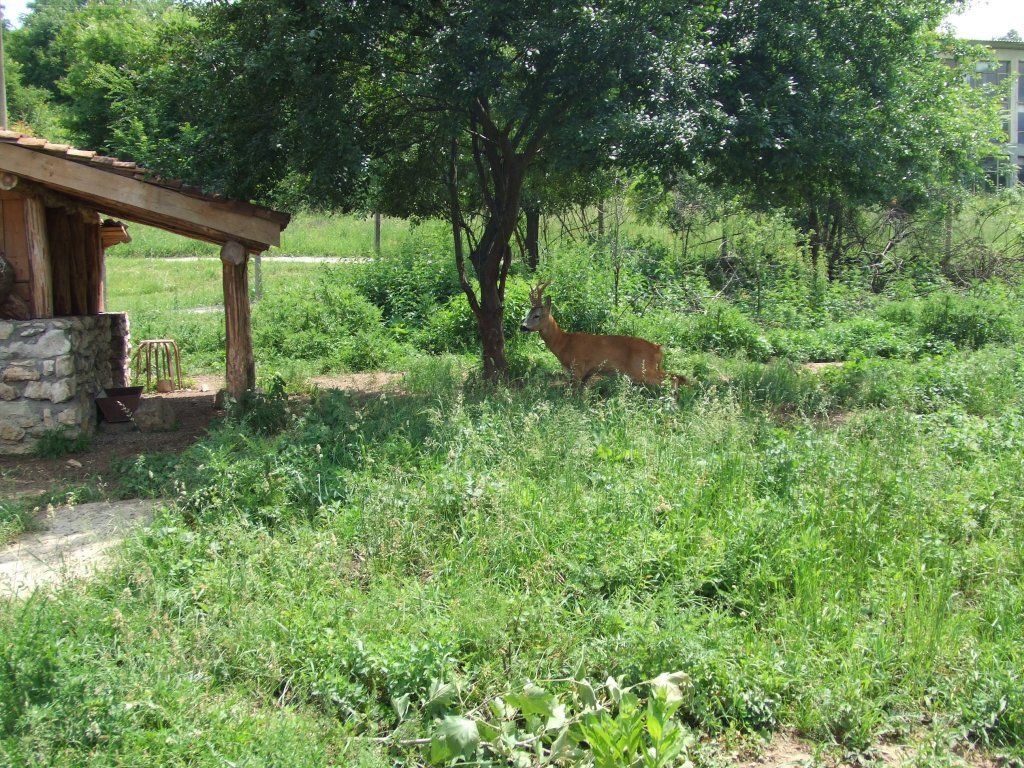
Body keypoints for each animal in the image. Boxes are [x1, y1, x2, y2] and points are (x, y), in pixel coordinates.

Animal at [520, 282, 688, 387]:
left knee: (671, 379)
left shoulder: (578, 366)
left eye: (537, 315)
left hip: (641, 369)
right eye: (528, 313)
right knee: (678, 376)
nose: (523, 327)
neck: (564, 343)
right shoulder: (588, 372)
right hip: (651, 368)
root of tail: (658, 349)